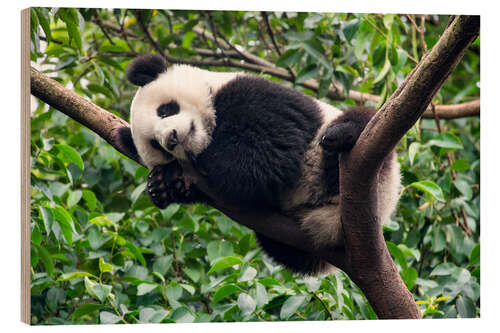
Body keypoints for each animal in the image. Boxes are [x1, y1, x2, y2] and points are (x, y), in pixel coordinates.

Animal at [116, 53, 398, 274]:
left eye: (165, 110)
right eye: (155, 144)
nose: (172, 139)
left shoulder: (257, 97)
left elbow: (265, 157)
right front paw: (164, 183)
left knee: (363, 122)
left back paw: (341, 134)